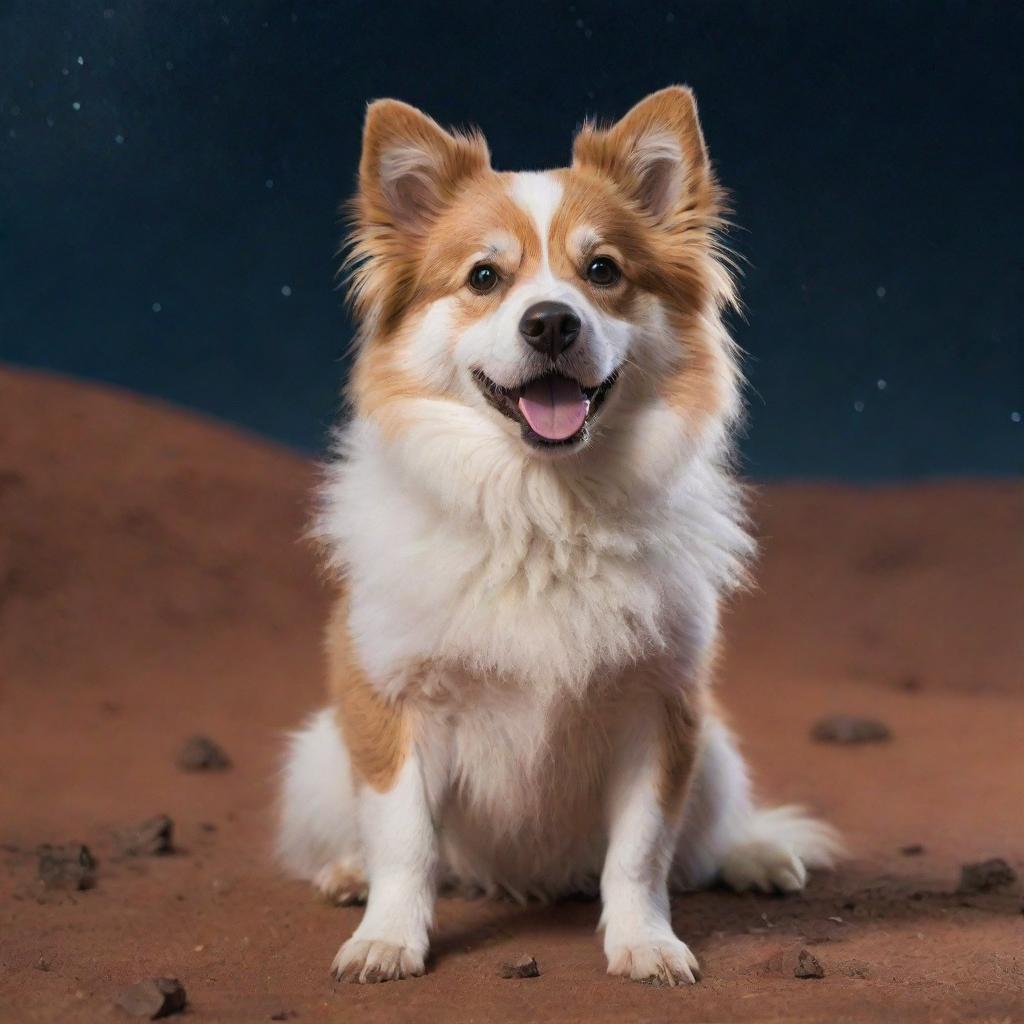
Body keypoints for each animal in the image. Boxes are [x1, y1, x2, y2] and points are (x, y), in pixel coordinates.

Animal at [276, 86, 835, 983]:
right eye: (483, 277)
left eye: (602, 271)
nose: (549, 323)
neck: (543, 508)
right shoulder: (393, 704)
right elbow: (405, 840)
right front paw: (387, 937)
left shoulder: (661, 712)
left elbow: (641, 853)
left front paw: (645, 942)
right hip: (321, 755)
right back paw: (347, 873)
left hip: (716, 754)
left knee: (707, 839)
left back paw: (754, 857)